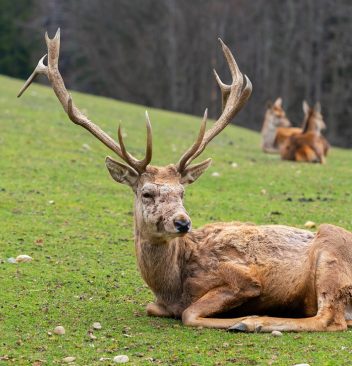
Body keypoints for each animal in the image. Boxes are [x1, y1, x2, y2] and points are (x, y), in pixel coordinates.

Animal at [18, 30, 352, 334]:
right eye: (147, 193)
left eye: (183, 192)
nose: (182, 222)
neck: (171, 285)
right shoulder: (159, 302)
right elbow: (153, 307)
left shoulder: (245, 278)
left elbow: (190, 313)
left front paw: (239, 318)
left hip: (331, 255)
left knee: (330, 319)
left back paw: (251, 322)